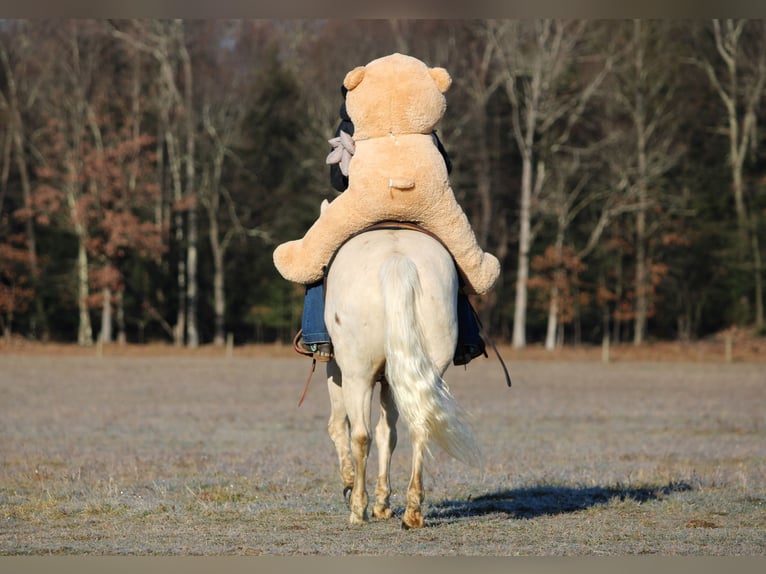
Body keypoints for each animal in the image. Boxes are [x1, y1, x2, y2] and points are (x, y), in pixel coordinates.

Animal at [324, 225, 481, 529]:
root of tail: (398, 261)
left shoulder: (335, 370)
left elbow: (339, 426)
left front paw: (350, 484)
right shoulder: (391, 382)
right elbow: (388, 434)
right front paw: (383, 504)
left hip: (356, 373)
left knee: (360, 435)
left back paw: (358, 509)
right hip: (425, 368)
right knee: (419, 427)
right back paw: (412, 511)